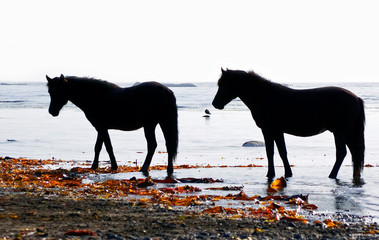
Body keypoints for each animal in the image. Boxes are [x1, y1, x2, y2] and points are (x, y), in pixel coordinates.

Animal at [46, 74, 179, 175]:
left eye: (59, 91)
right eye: (50, 91)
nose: (52, 111)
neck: (95, 96)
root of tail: (167, 90)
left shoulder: (101, 128)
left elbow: (107, 147)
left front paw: (113, 166)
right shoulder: (101, 128)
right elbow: (99, 147)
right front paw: (95, 166)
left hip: (150, 125)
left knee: (152, 145)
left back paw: (144, 168)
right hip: (162, 122)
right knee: (168, 145)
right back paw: (169, 169)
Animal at [214, 68, 366, 179]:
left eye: (225, 85)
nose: (215, 104)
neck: (262, 95)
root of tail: (356, 98)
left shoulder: (268, 129)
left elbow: (270, 152)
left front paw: (271, 174)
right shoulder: (277, 131)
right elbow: (282, 152)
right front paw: (288, 173)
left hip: (340, 132)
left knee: (342, 153)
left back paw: (332, 175)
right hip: (348, 133)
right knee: (354, 153)